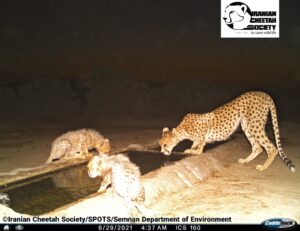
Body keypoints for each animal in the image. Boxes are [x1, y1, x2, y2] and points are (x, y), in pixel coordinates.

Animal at [159, 91, 296, 172]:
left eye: (165, 145)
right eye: (160, 145)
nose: (161, 152)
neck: (183, 128)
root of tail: (263, 93)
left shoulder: (202, 137)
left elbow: (198, 149)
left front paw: (190, 150)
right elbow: (194, 143)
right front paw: (191, 147)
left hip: (254, 125)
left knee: (271, 147)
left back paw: (263, 167)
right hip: (246, 125)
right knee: (257, 147)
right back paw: (245, 161)